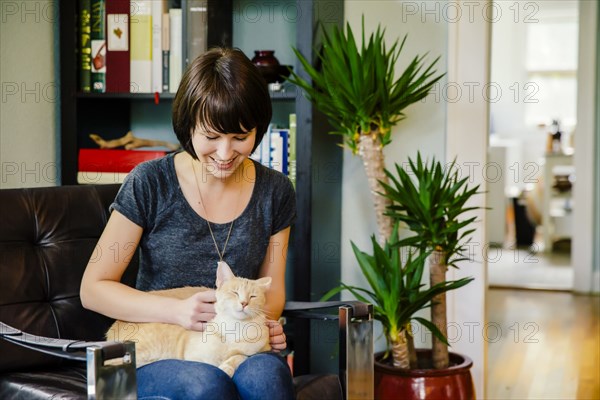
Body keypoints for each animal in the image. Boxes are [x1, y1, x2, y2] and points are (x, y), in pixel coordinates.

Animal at [107, 264, 272, 376]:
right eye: (235, 293)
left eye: (253, 296)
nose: (244, 303)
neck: (234, 328)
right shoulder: (195, 356)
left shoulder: (259, 349)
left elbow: (239, 357)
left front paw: (227, 367)